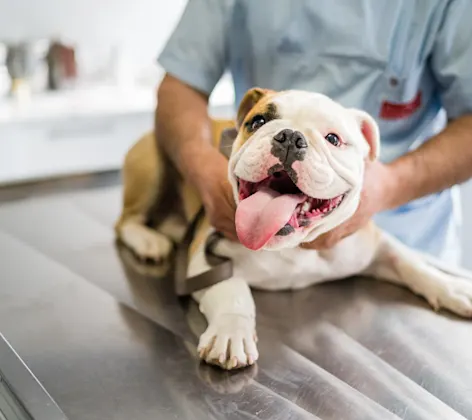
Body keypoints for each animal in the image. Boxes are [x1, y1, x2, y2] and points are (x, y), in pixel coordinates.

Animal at [116, 87, 472, 370]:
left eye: (333, 139)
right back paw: (148, 241)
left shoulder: (372, 244)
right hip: (152, 165)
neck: (293, 245)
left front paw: (452, 287)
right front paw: (232, 332)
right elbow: (233, 291)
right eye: (258, 122)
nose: (289, 136)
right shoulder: (206, 255)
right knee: (125, 221)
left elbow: (412, 263)